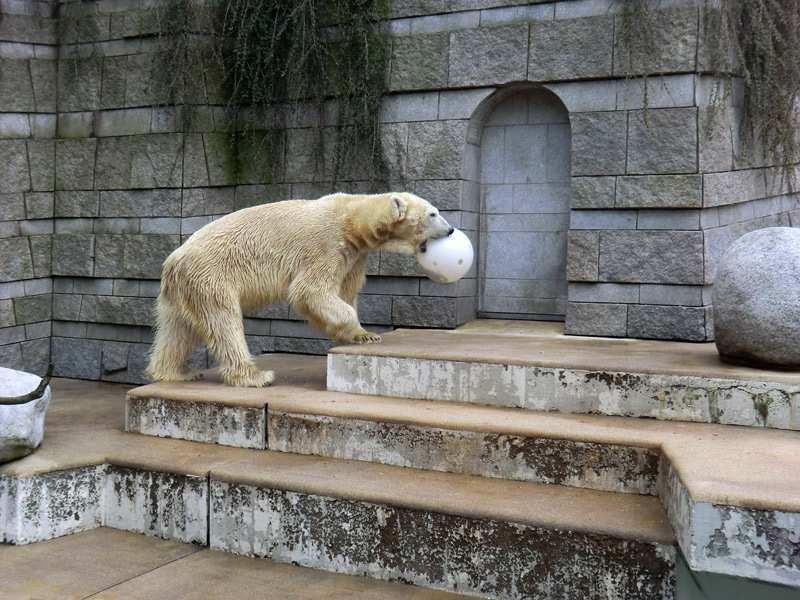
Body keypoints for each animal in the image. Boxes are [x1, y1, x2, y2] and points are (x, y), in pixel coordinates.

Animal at [146, 193, 454, 390]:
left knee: (179, 329)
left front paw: (364, 335)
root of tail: (173, 261)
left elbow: (346, 291)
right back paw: (255, 376)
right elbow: (311, 291)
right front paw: (356, 328)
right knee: (224, 322)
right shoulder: (326, 245)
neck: (351, 219)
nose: (451, 229)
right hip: (212, 275)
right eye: (433, 213)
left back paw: (176, 372)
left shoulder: (355, 255)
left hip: (183, 288)